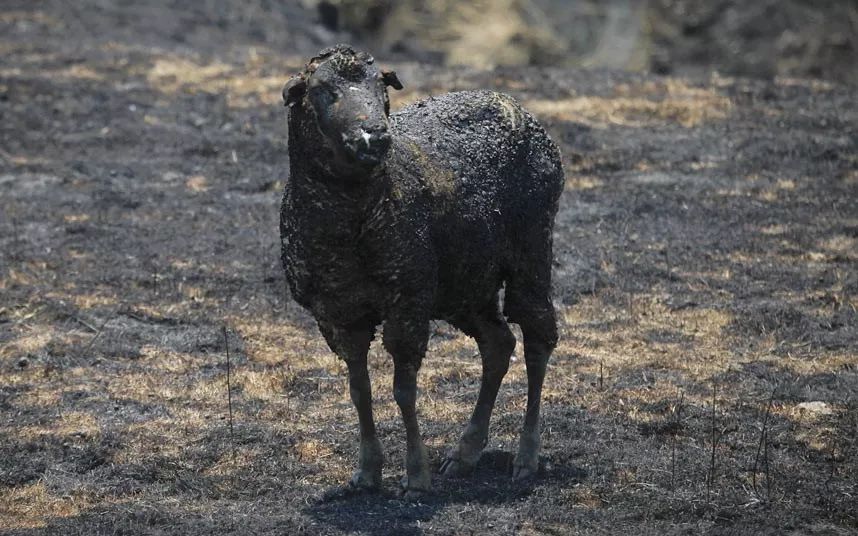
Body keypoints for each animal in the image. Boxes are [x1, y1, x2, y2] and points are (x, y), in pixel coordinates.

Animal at [280, 44, 560, 500]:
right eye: (321, 89)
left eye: (381, 87)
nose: (374, 136)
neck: (354, 220)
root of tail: (512, 103)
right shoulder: (336, 314)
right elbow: (359, 390)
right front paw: (367, 472)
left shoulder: (407, 299)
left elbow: (403, 391)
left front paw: (415, 477)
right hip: (465, 281)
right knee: (498, 343)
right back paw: (464, 453)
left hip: (532, 248)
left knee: (538, 338)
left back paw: (526, 458)